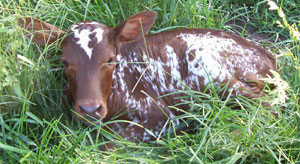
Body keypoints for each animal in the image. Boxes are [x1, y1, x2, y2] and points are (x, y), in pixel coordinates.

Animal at [18, 11, 276, 147]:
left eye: (110, 59)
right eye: (65, 62)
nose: (90, 109)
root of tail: (267, 54)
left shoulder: (163, 116)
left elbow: (113, 140)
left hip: (209, 67)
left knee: (267, 106)